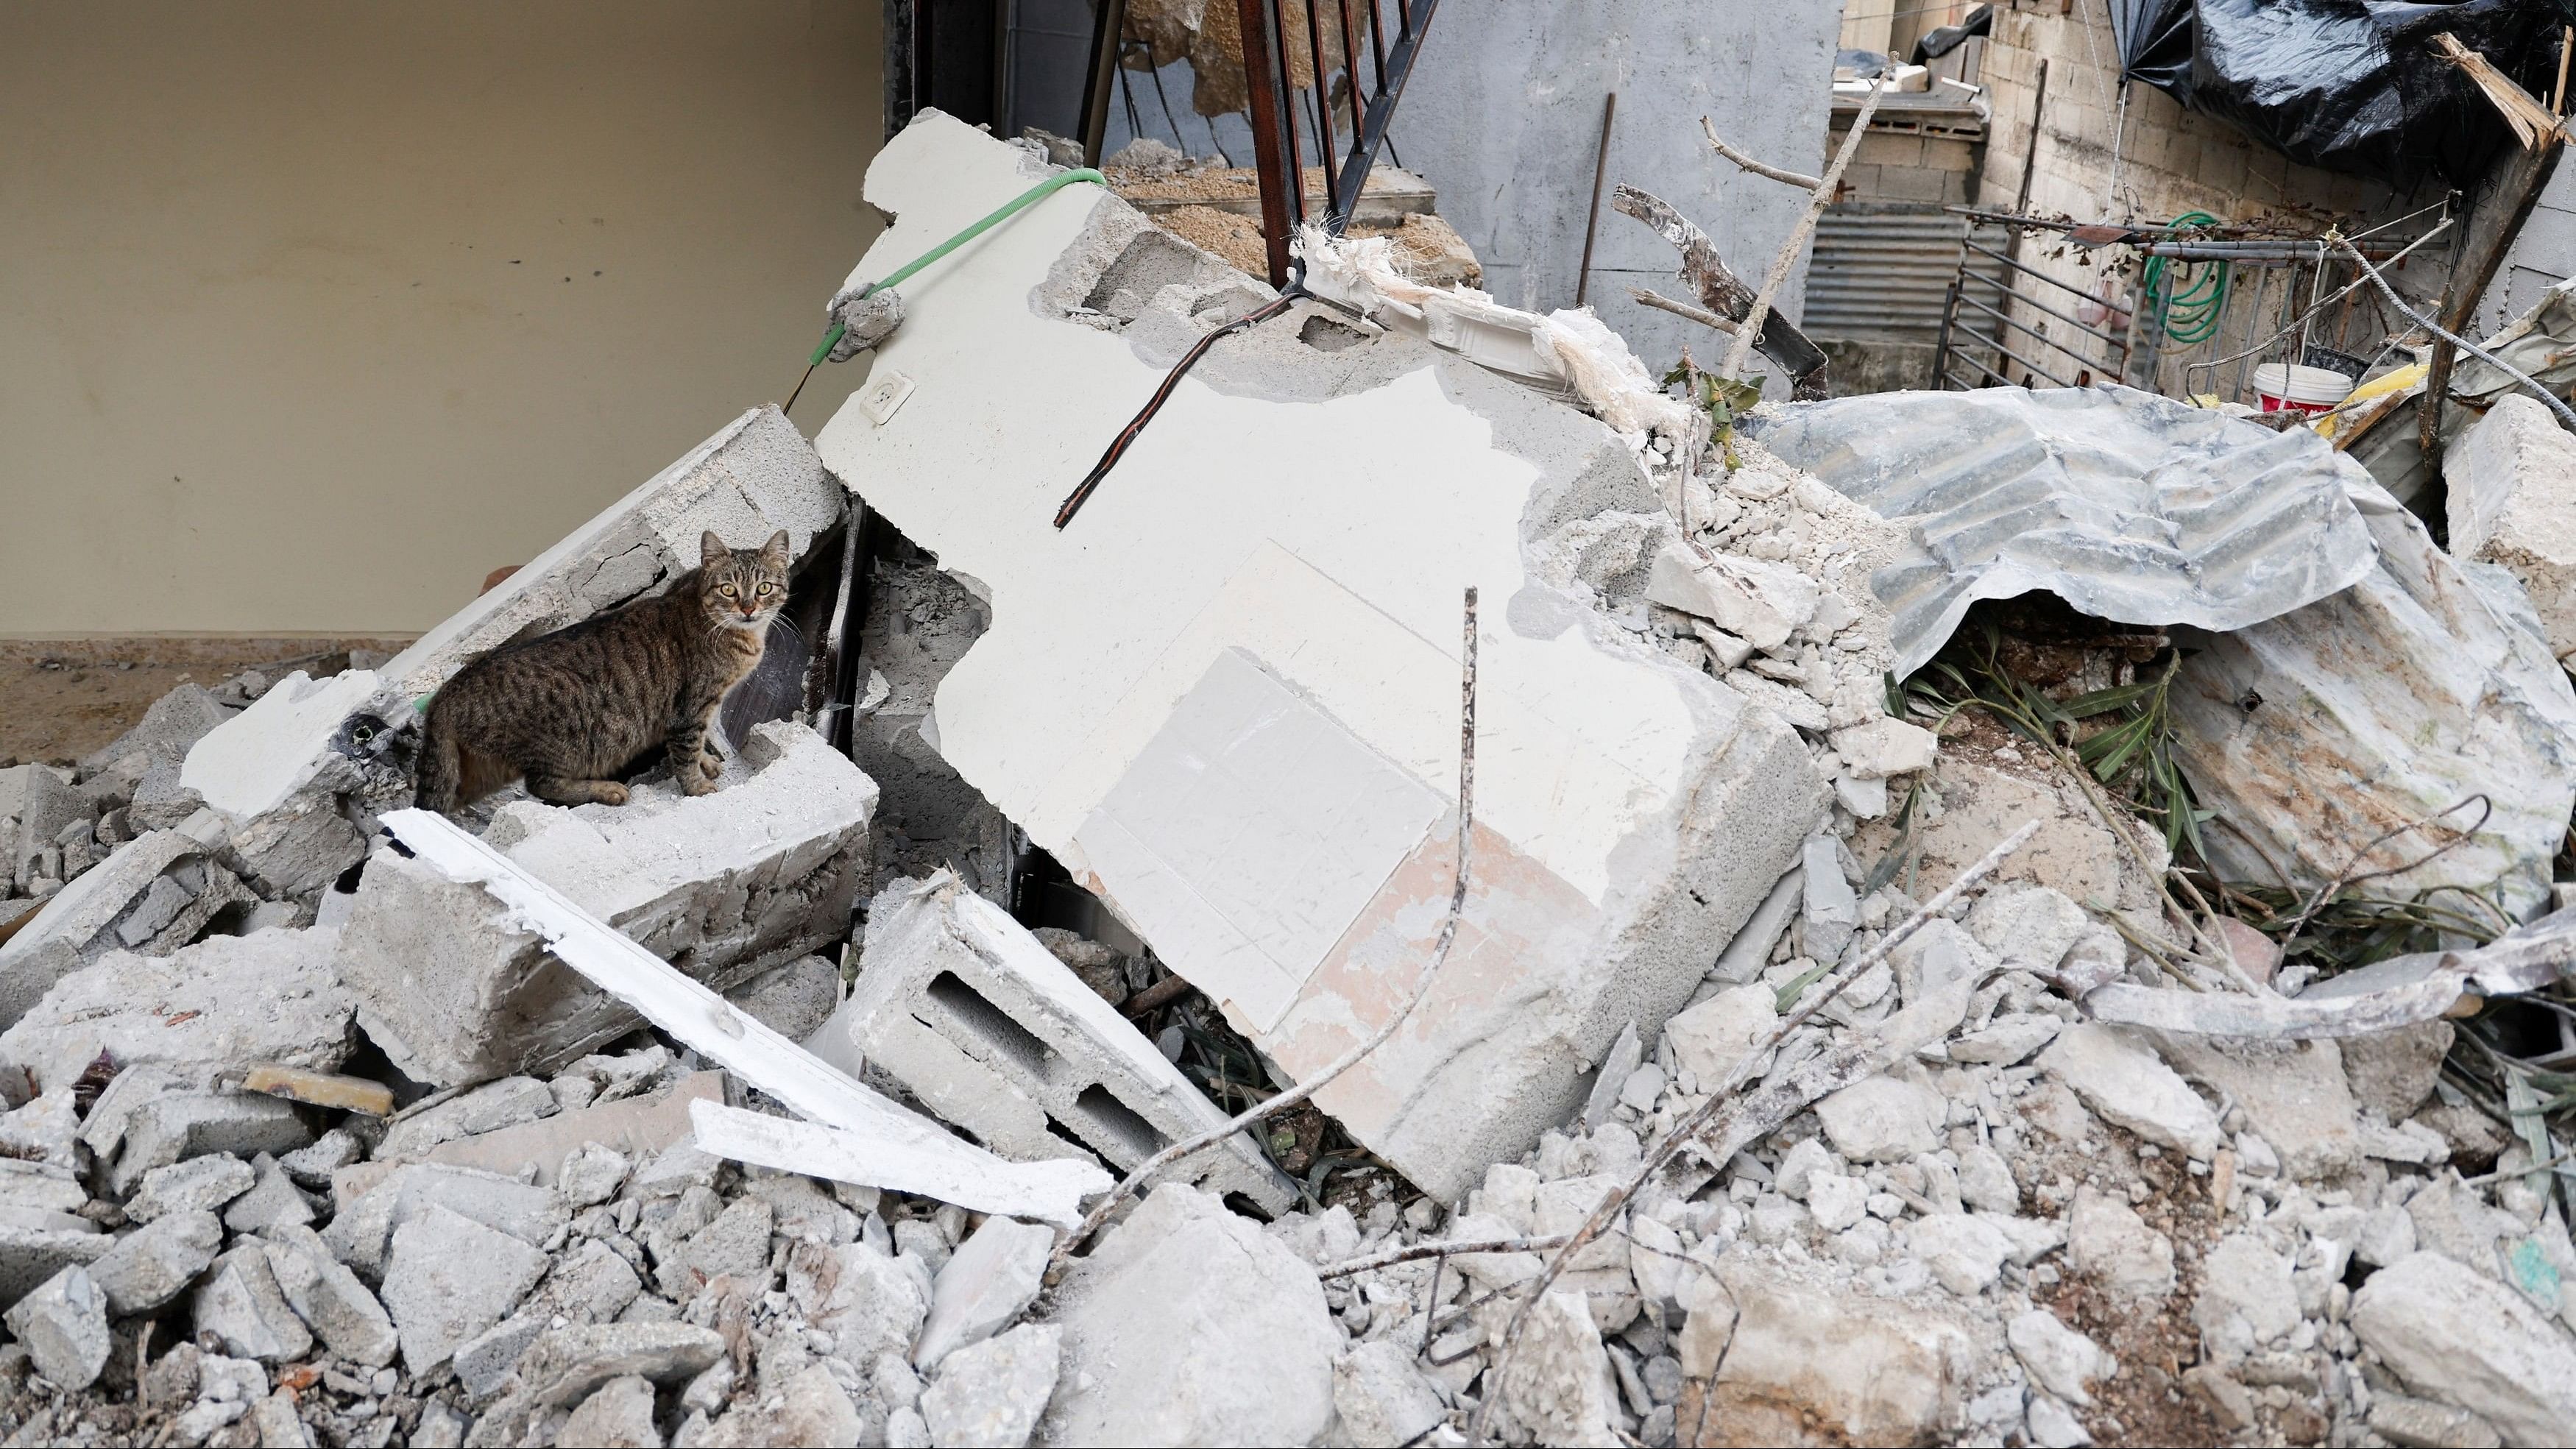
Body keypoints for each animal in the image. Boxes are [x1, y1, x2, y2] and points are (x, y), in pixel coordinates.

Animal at [412, 530, 788, 818]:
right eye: (728, 589)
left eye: (764, 588)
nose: (748, 608)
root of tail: (445, 695)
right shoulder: (690, 708)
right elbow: (686, 752)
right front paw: (697, 785)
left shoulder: (708, 705)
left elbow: (702, 739)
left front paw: (707, 762)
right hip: (567, 736)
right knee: (542, 784)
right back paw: (607, 790)